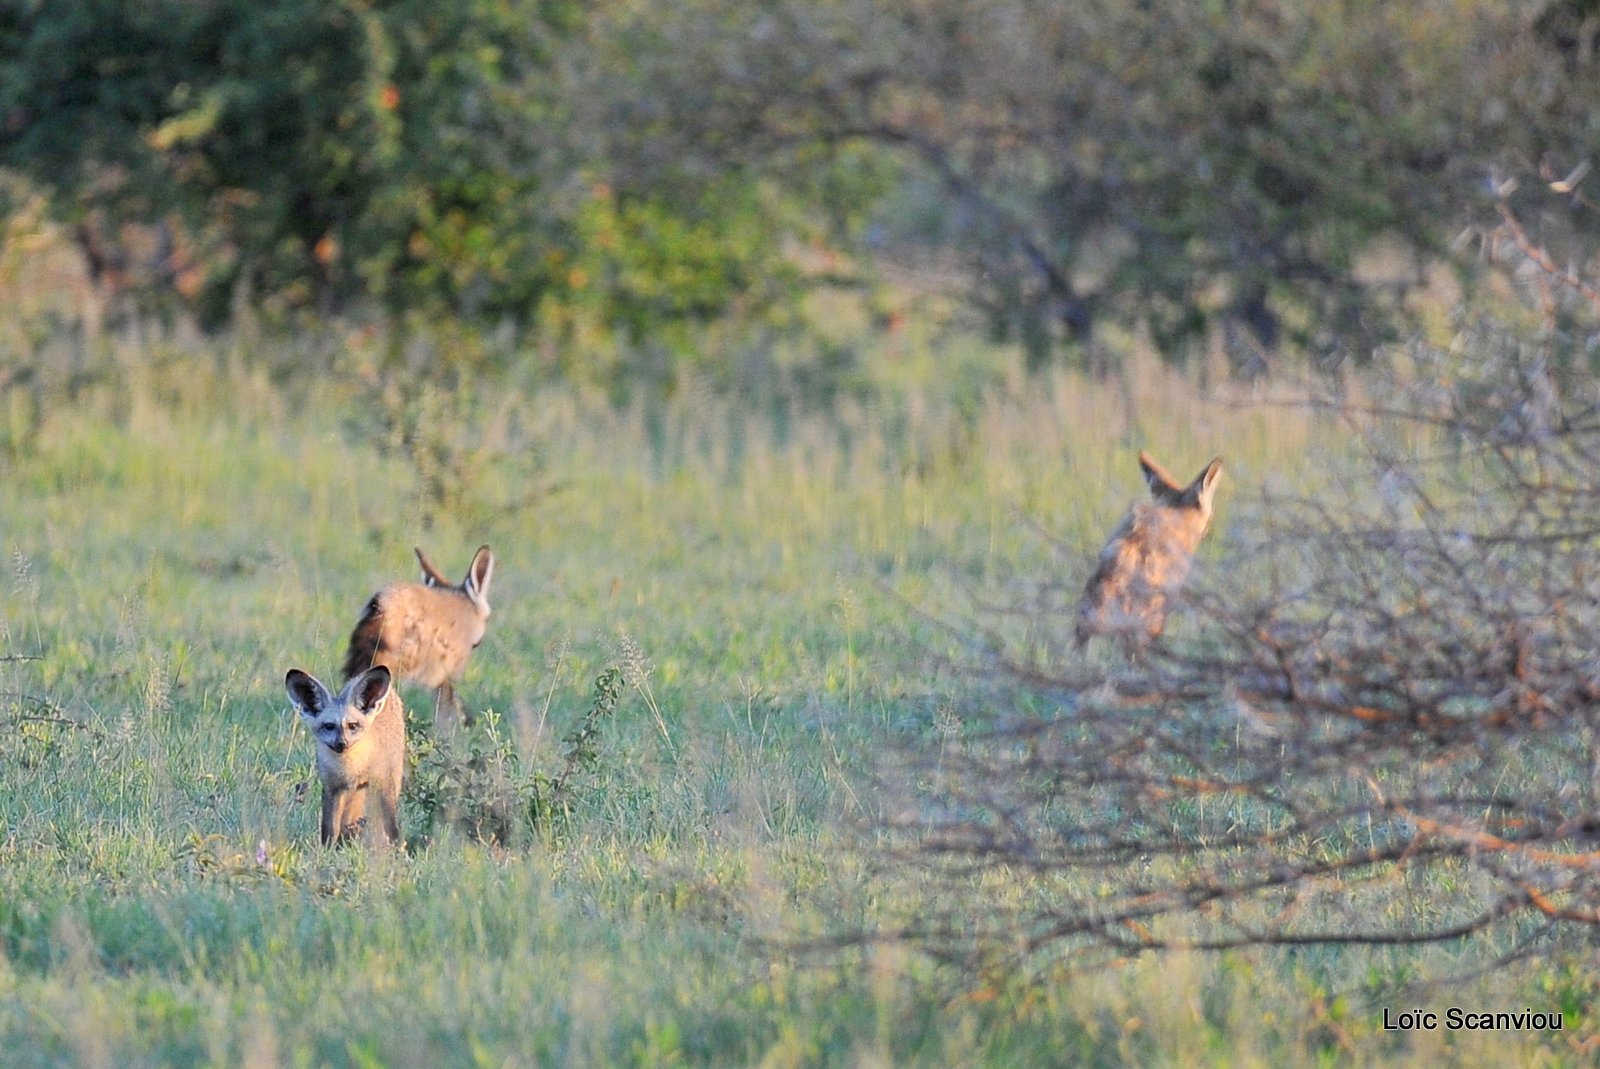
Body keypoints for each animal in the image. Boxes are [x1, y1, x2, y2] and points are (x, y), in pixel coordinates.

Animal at [286, 662, 406, 844]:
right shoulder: (332, 788)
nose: (341, 743)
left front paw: (397, 848)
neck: (352, 770)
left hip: (389, 780)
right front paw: (327, 849)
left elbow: (391, 827)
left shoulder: (383, 784)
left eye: (353, 726)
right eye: (329, 726)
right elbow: (329, 830)